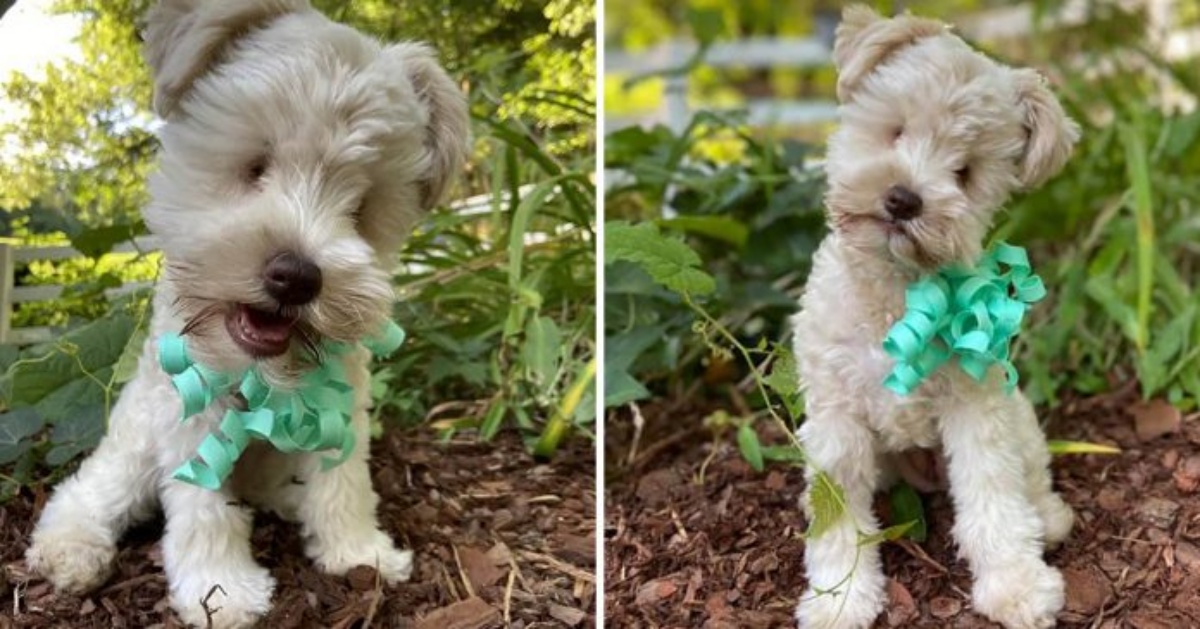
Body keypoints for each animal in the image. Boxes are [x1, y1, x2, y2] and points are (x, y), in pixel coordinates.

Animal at [27, 2, 468, 624]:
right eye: (256, 165)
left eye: (361, 206)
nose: (297, 275)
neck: (260, 375)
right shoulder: (189, 412)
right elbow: (204, 508)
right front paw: (223, 592)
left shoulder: (341, 405)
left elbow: (344, 482)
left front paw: (359, 552)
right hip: (132, 447)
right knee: (90, 492)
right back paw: (70, 547)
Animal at [796, 6, 1080, 629]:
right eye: (897, 129)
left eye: (965, 172)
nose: (904, 199)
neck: (896, 296)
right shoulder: (836, 420)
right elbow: (837, 521)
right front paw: (839, 598)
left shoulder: (977, 406)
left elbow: (994, 497)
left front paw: (1017, 584)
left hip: (1018, 414)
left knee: (1032, 474)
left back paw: (1048, 517)